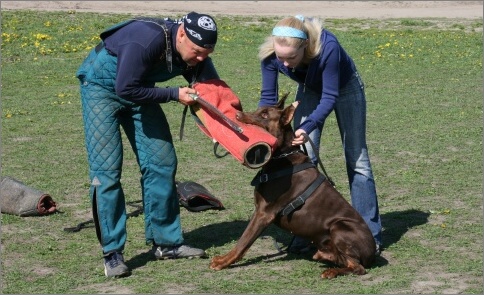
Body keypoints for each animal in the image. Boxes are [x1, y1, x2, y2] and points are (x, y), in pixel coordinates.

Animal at [210, 95, 376, 280]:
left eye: (265, 115)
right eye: (259, 109)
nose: (237, 115)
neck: (282, 156)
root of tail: (373, 253)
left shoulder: (263, 213)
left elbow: (243, 241)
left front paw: (223, 262)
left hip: (339, 226)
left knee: (358, 267)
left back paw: (331, 268)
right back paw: (326, 255)